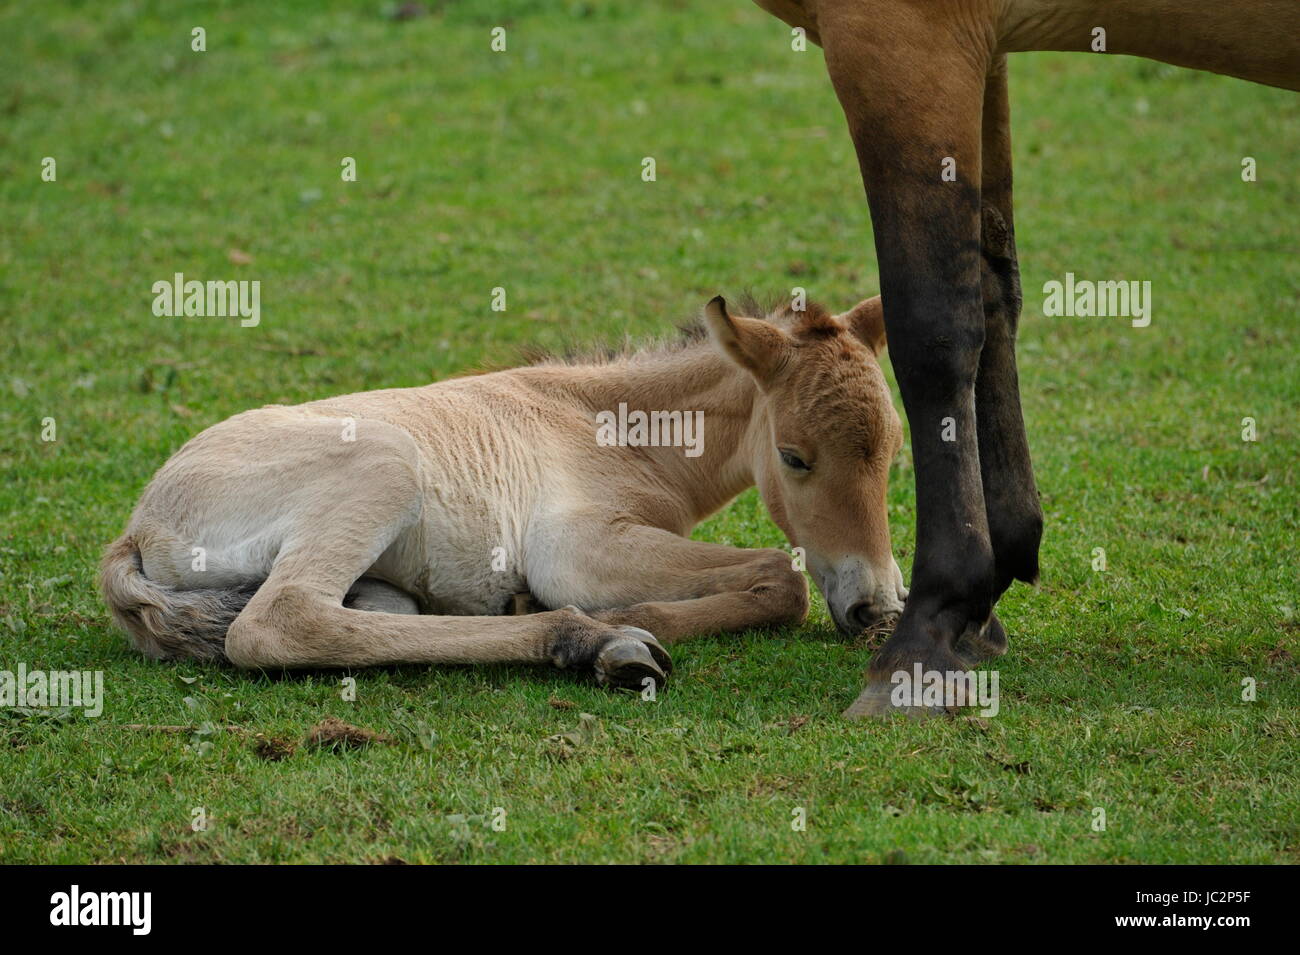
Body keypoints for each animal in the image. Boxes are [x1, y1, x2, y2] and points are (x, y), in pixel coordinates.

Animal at [101, 294, 906, 690]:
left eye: (896, 450)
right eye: (793, 457)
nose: (874, 607)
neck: (610, 426)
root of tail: (136, 529)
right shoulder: (575, 549)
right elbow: (782, 575)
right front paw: (619, 618)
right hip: (385, 465)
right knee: (280, 623)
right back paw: (592, 641)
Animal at [751, 0, 1300, 716]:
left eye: (795, 457)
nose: (872, 611)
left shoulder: (904, 41)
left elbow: (934, 325)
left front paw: (924, 636)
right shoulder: (986, 51)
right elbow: (992, 287)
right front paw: (982, 602)